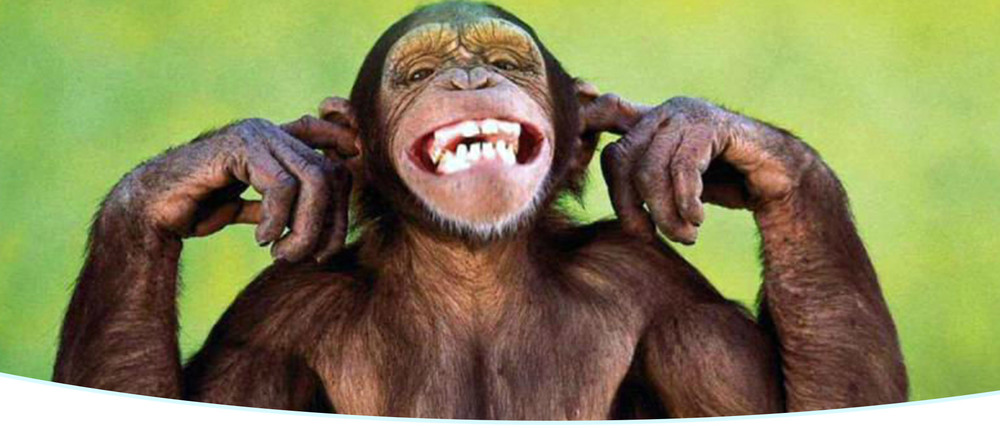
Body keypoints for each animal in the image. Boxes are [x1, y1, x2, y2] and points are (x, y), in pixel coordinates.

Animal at [53, 1, 907, 419]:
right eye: (418, 72)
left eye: (503, 62)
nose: (467, 78)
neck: (472, 269)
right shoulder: (272, 323)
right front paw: (204, 170)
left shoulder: (654, 284)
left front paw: (710, 136)